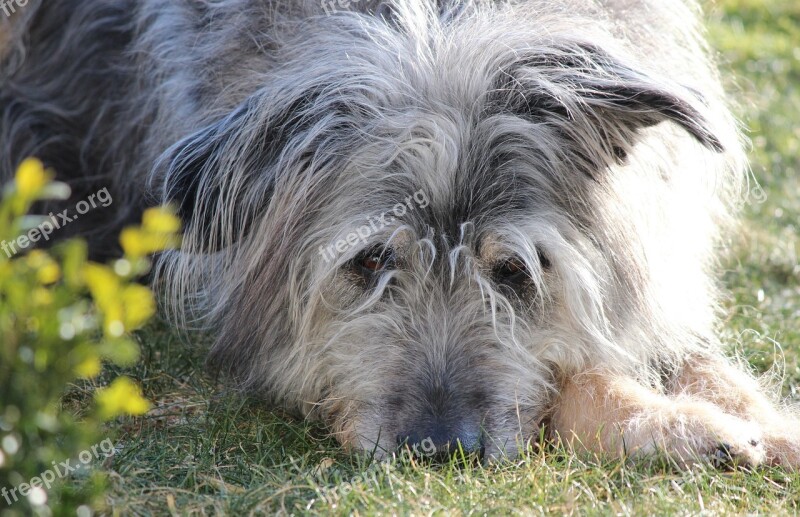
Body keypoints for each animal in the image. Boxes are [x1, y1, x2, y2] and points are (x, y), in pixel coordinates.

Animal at [1, 0, 800, 466]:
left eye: (514, 270)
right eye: (369, 262)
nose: (438, 449)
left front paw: (764, 426)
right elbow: (572, 379)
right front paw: (684, 427)